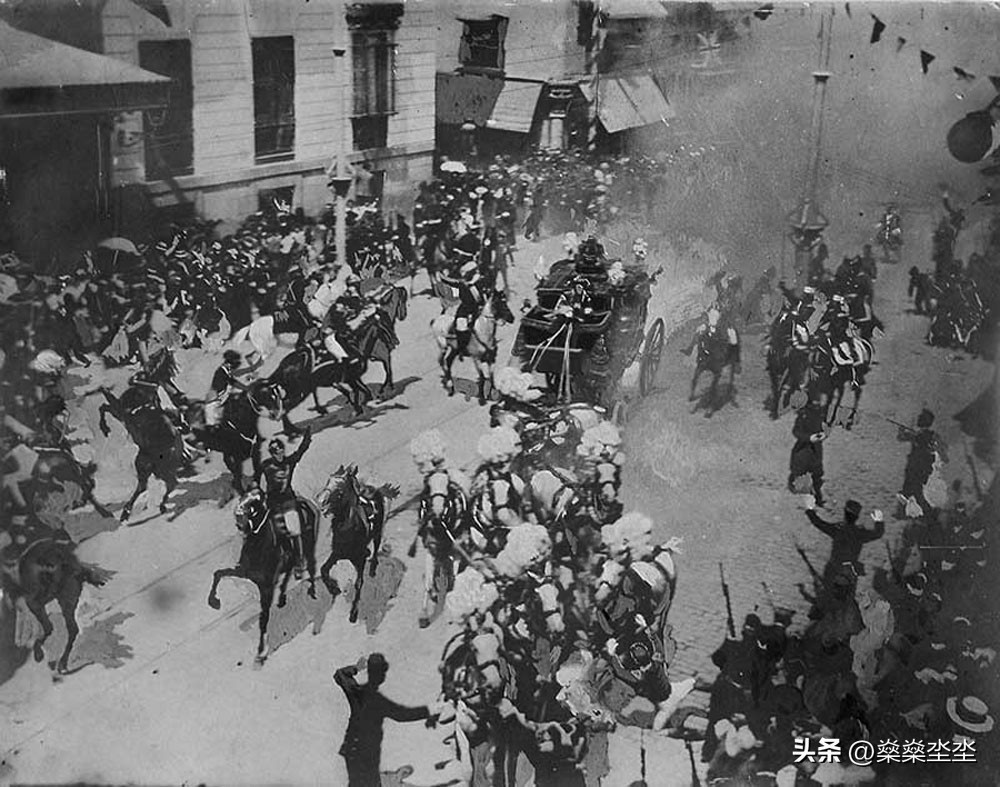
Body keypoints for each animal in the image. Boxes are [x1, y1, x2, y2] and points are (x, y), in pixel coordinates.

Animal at [98, 387, 186, 522]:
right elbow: (104, 406)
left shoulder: (120, 412)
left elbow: (105, 406)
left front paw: (104, 427)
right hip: (150, 467)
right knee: (157, 485)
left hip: (148, 466)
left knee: (156, 485)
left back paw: (128, 512)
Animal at [207, 488, 319, 664]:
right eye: (243, 497)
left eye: (255, 504)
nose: (238, 518)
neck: (258, 547)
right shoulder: (243, 571)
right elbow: (218, 573)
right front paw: (214, 602)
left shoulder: (265, 589)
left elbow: (263, 618)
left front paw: (260, 652)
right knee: (288, 573)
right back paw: (282, 598)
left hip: (309, 545)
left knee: (312, 568)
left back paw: (312, 591)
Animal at [317, 465, 398, 624]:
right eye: (328, 480)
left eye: (340, 490)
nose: (320, 501)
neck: (348, 528)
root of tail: (375, 488)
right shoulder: (337, 553)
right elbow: (324, 569)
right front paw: (334, 589)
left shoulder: (359, 559)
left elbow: (359, 583)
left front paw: (354, 613)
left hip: (378, 532)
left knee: (376, 548)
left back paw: (373, 567)